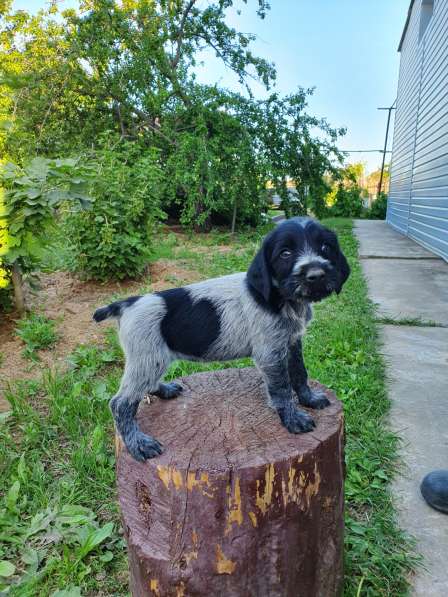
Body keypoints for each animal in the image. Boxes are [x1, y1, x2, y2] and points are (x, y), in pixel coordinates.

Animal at [93, 218, 350, 460]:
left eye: (325, 247)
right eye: (285, 253)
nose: (316, 275)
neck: (282, 300)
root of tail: (127, 302)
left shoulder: (292, 342)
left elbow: (299, 373)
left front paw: (308, 398)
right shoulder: (271, 353)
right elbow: (282, 389)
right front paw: (293, 418)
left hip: (152, 359)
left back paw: (164, 389)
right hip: (148, 358)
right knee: (121, 403)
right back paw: (138, 443)